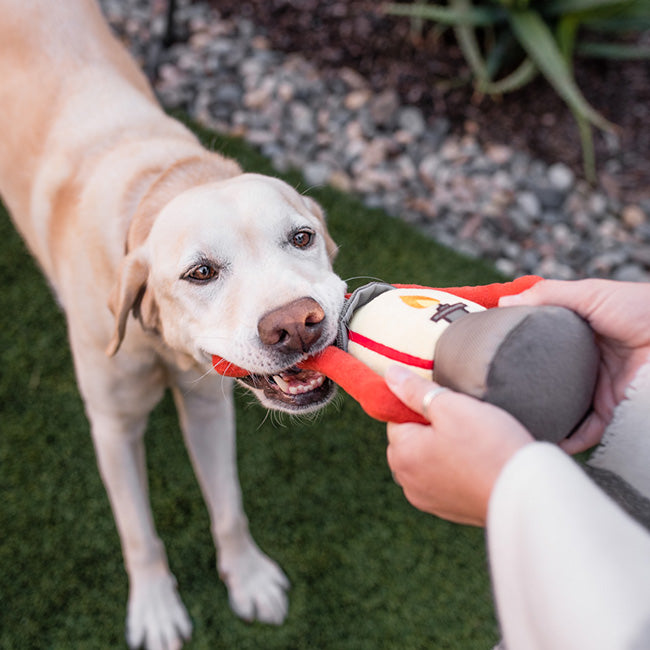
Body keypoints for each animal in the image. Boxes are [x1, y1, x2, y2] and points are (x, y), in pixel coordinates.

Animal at [1, 2, 344, 644]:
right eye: (201, 272)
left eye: (302, 237)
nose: (297, 325)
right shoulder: (113, 426)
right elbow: (139, 533)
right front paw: (156, 607)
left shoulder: (208, 404)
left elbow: (228, 505)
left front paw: (247, 575)